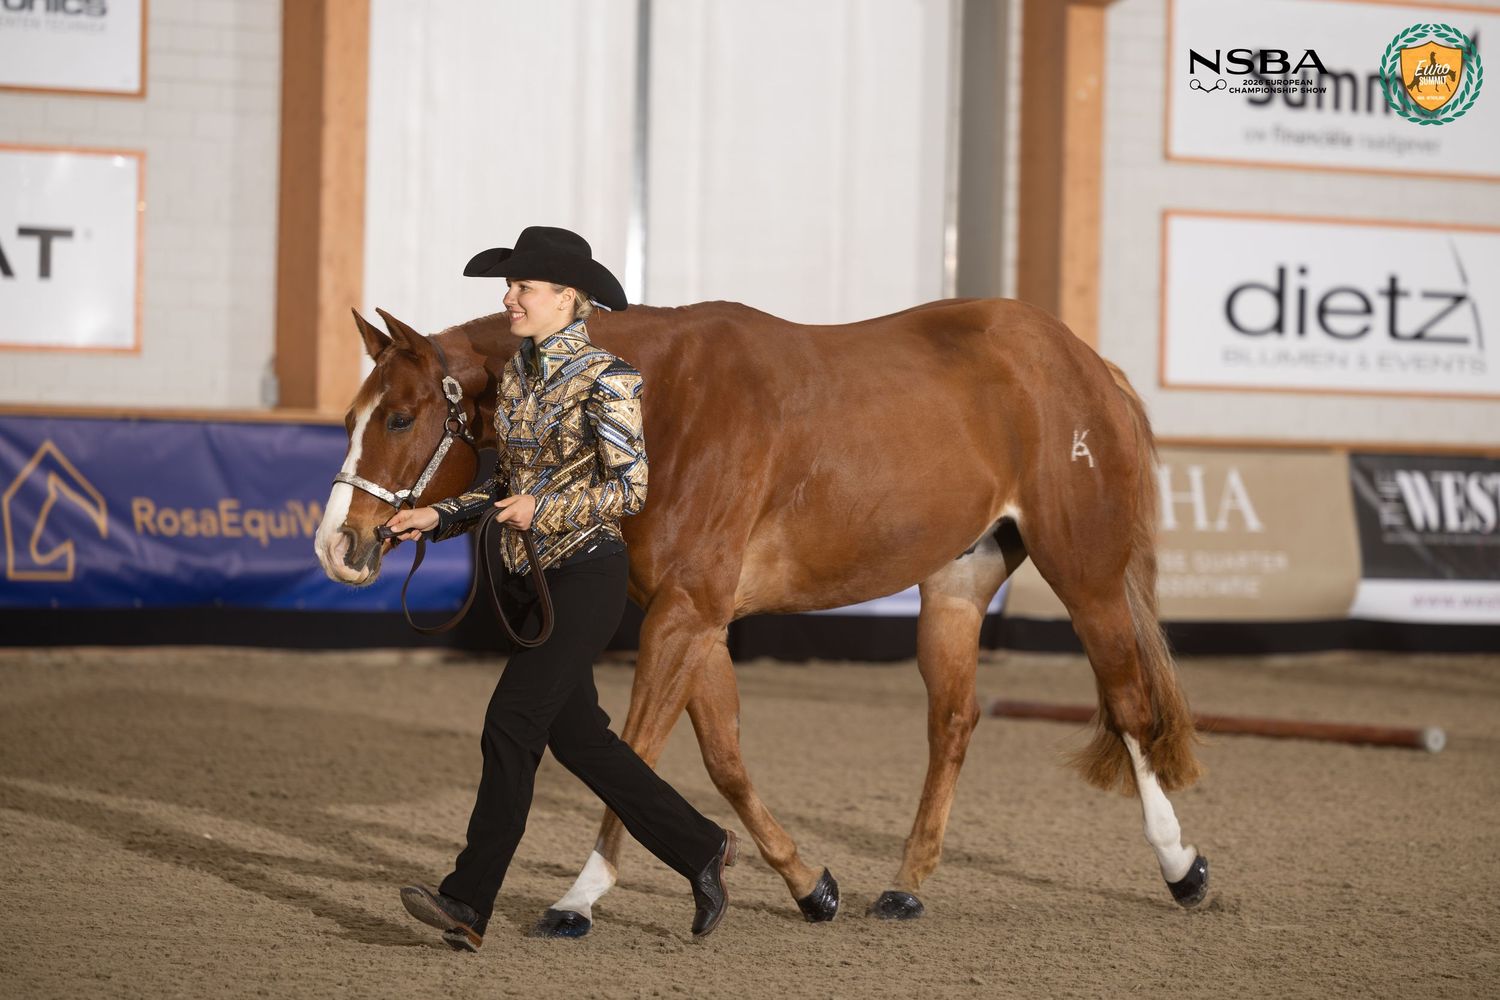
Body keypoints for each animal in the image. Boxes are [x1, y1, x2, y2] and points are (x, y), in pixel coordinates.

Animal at [314, 298, 1209, 935]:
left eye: (399, 417)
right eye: (348, 420)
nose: (338, 545)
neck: (661, 402)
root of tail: (1083, 361)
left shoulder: (685, 614)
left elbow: (637, 750)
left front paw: (580, 896)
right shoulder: (698, 618)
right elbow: (722, 759)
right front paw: (808, 885)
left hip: (1086, 575)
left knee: (1130, 706)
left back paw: (1182, 868)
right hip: (957, 584)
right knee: (954, 721)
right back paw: (904, 886)